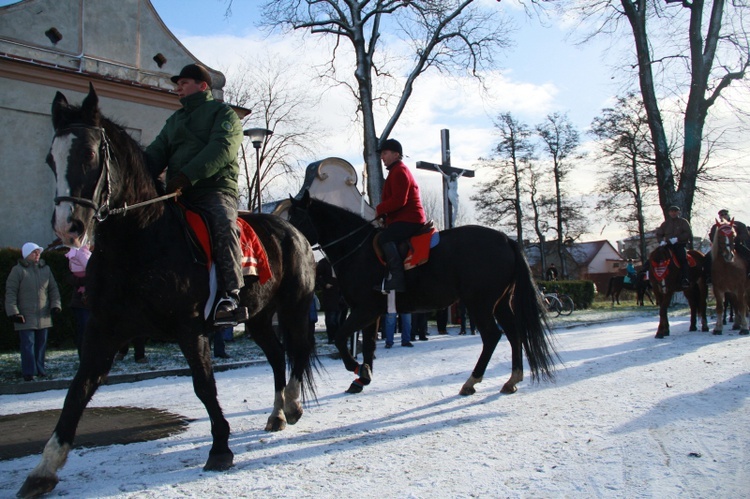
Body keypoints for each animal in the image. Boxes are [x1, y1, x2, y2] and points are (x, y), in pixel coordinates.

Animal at [17, 84, 318, 498]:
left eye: (90, 154)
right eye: (51, 158)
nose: (68, 226)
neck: (141, 239)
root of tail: (294, 232)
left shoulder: (190, 329)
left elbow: (204, 386)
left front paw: (220, 447)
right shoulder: (102, 331)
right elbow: (77, 392)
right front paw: (44, 468)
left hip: (293, 309)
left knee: (296, 353)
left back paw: (291, 404)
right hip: (258, 318)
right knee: (276, 356)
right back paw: (276, 414)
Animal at [288, 191, 560, 398]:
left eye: (297, 218)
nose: (291, 244)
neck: (356, 249)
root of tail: (505, 239)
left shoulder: (364, 309)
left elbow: (341, 337)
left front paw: (355, 368)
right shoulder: (371, 312)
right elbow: (368, 344)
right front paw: (362, 377)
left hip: (480, 303)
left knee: (493, 336)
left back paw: (471, 381)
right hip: (500, 302)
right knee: (514, 333)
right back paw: (512, 379)